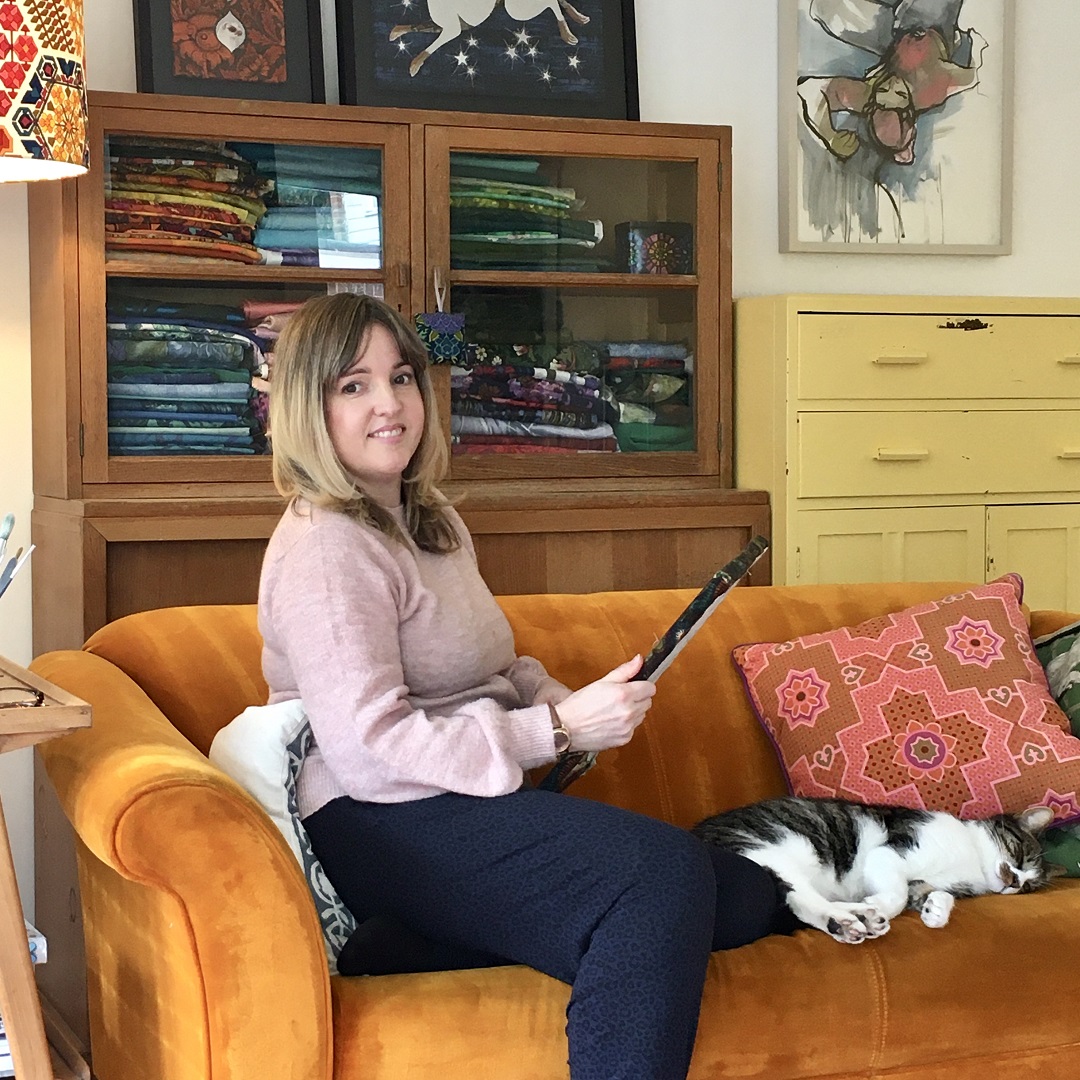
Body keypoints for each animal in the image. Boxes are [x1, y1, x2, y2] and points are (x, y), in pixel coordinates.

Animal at [691, 794, 1062, 946]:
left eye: (1028, 887)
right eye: (1019, 855)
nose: (1013, 881)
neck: (970, 863)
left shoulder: (925, 880)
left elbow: (932, 892)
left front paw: (936, 909)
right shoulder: (891, 852)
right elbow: (895, 894)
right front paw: (881, 903)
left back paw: (857, 917)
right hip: (766, 848)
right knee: (802, 896)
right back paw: (852, 918)